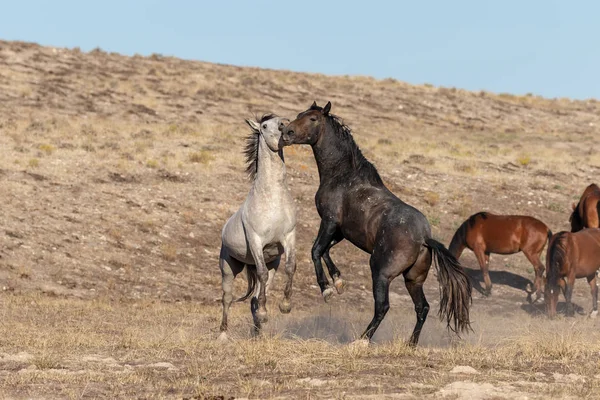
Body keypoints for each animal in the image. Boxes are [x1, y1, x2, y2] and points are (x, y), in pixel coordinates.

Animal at [219, 114, 296, 340]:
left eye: (284, 119)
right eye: (264, 126)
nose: (285, 128)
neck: (272, 199)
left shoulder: (289, 237)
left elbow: (291, 266)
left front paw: (285, 306)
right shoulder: (256, 240)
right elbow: (261, 273)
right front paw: (264, 313)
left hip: (272, 265)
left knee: (255, 296)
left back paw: (258, 333)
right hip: (228, 267)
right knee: (227, 298)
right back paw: (223, 334)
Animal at [278, 101, 472, 346]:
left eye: (313, 119)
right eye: (299, 114)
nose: (286, 132)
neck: (343, 176)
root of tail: (424, 238)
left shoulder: (329, 222)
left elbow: (315, 250)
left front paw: (327, 290)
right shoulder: (341, 231)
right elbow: (325, 251)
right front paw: (338, 282)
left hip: (380, 272)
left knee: (383, 307)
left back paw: (361, 341)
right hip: (413, 280)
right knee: (422, 308)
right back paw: (410, 344)